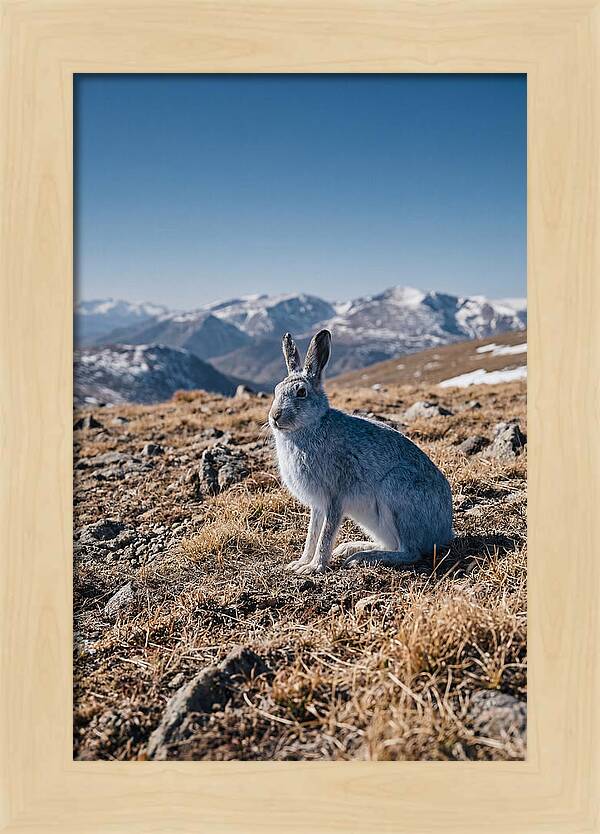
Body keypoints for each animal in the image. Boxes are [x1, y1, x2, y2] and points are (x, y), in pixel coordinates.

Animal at [268, 329, 453, 574]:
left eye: (301, 392)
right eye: (276, 390)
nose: (275, 416)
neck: (311, 426)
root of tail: (445, 532)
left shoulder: (335, 496)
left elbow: (325, 534)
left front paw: (315, 567)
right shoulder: (318, 505)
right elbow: (312, 534)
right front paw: (300, 563)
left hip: (397, 492)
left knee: (409, 551)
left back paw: (362, 557)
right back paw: (351, 548)